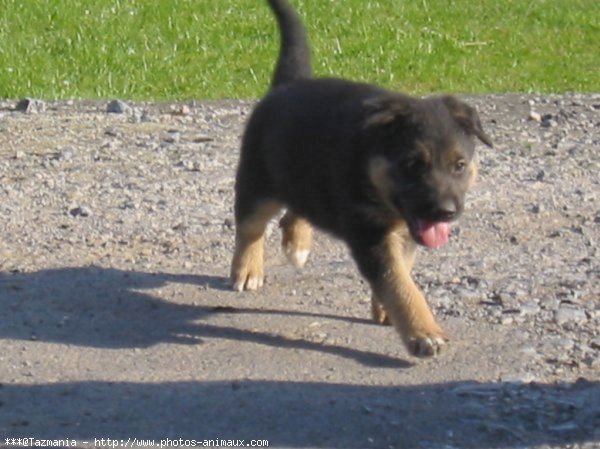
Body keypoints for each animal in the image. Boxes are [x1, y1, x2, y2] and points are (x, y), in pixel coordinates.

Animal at [230, 0, 492, 356]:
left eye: (459, 165)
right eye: (412, 164)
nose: (446, 212)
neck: (370, 168)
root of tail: (288, 84)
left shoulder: (405, 232)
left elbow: (401, 271)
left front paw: (387, 310)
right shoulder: (369, 231)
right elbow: (397, 281)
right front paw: (423, 332)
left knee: (294, 209)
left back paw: (298, 242)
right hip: (258, 180)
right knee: (250, 226)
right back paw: (247, 270)